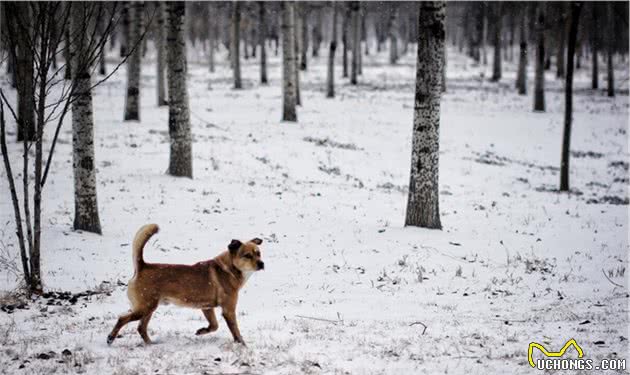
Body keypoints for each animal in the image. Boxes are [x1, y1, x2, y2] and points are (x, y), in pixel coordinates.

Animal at [107, 223, 264, 346]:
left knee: (141, 328)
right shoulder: (228, 310)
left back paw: (150, 344)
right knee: (122, 319)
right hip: (145, 308)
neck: (229, 269)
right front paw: (242, 345)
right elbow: (235, 331)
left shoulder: (207, 307)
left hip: (149, 309)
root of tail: (142, 266)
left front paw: (202, 331)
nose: (262, 264)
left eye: (258, 253)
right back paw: (110, 338)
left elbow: (214, 326)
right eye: (247, 255)